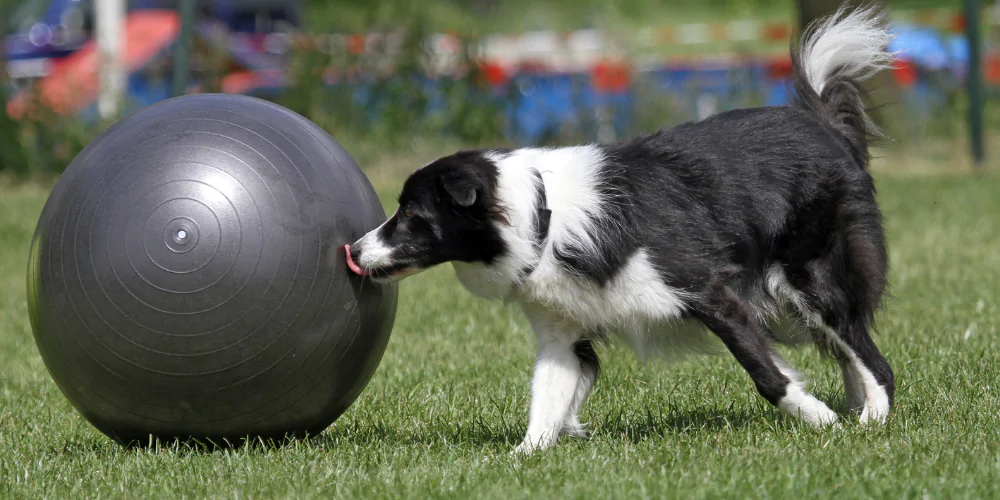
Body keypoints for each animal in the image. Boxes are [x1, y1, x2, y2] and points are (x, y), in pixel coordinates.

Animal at [346, 6, 900, 454]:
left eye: (412, 213)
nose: (354, 249)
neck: (543, 220)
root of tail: (823, 123)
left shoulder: (709, 290)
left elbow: (768, 375)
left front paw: (817, 419)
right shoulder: (561, 330)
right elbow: (546, 397)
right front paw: (525, 455)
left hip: (808, 279)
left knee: (873, 358)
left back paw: (870, 419)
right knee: (849, 351)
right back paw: (858, 406)